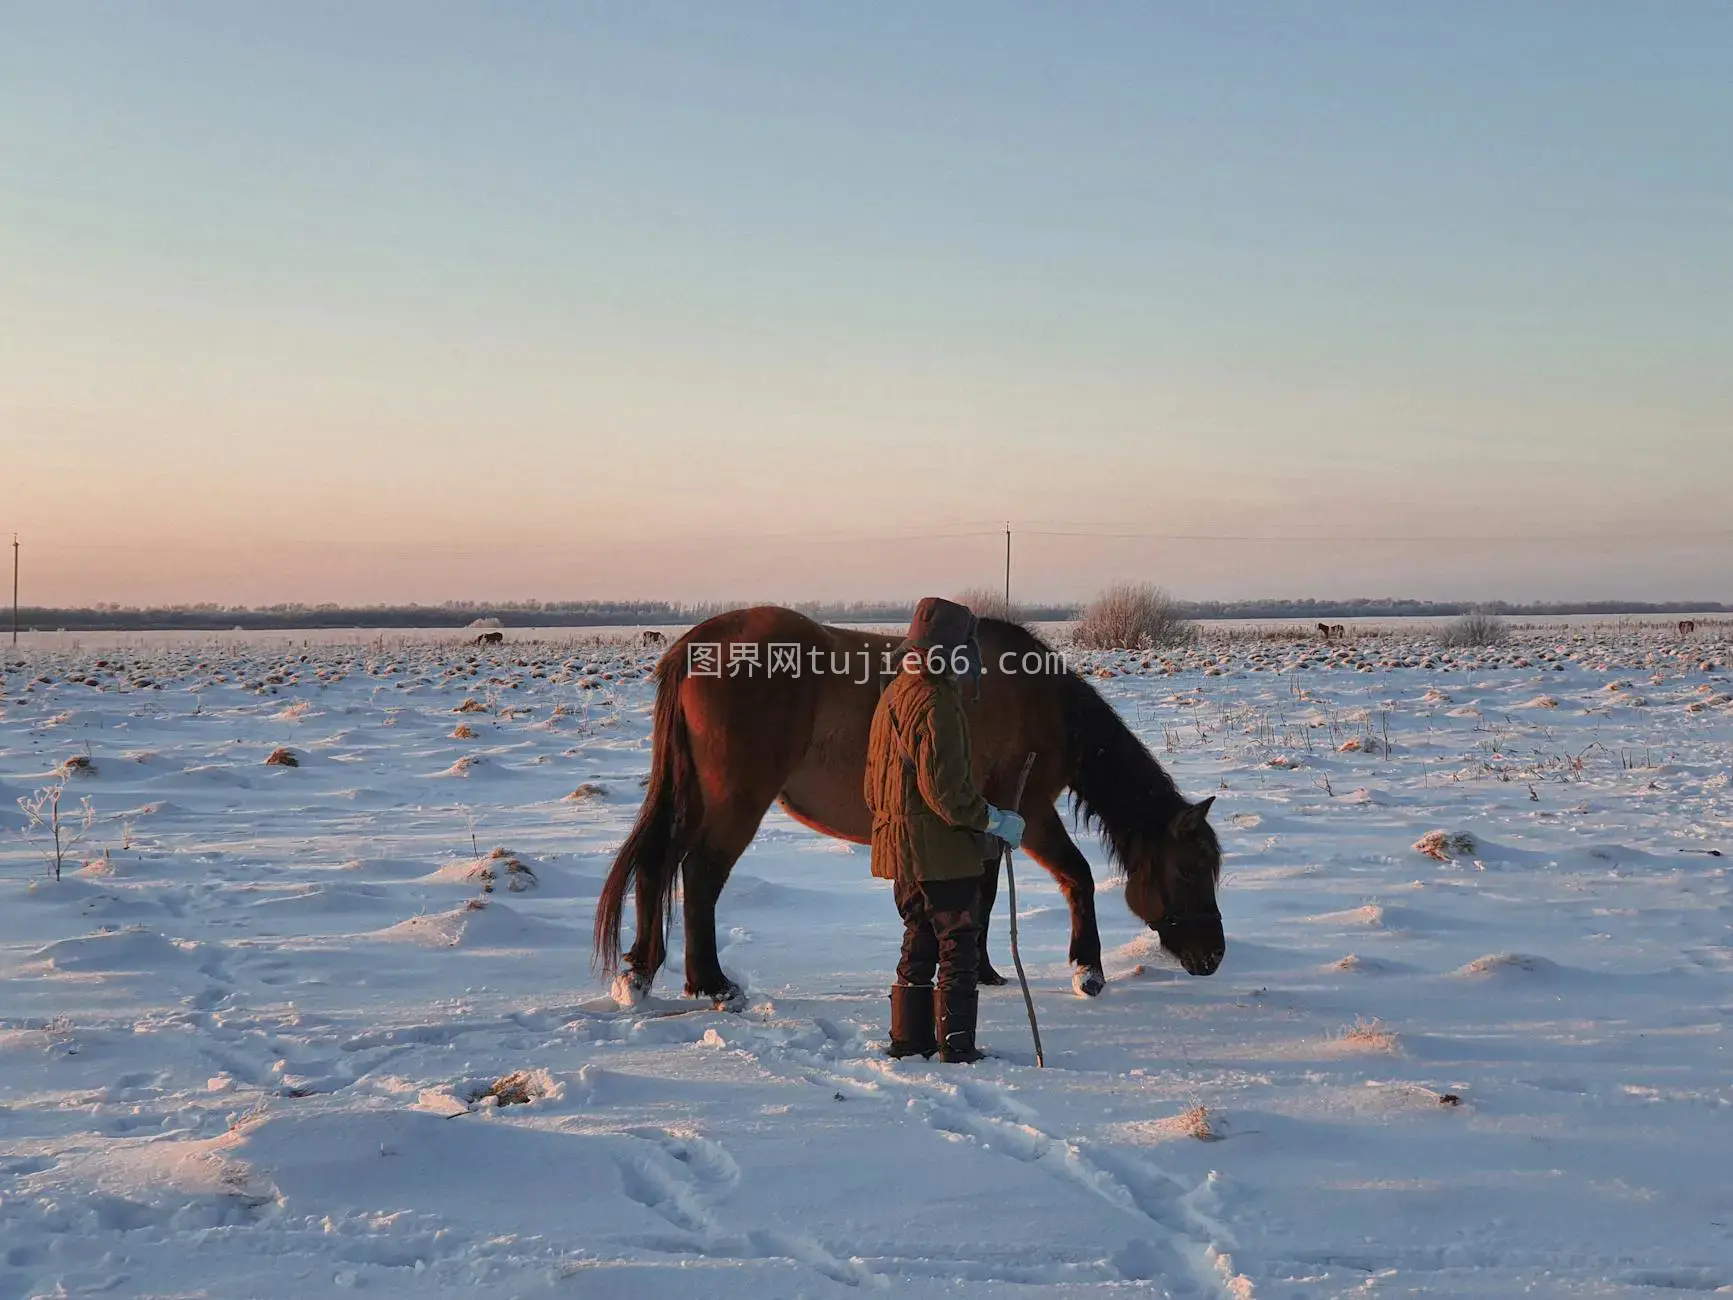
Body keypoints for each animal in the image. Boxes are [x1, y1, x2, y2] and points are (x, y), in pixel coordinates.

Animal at [596, 610, 1233, 1005]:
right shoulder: (1027, 812)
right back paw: (711, 984)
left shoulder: (981, 823)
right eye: (1188, 869)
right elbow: (1075, 876)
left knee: (656, 867)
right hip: (734, 800)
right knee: (700, 874)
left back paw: (641, 974)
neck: (1043, 703)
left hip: (696, 796)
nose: (1213, 957)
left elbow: (982, 896)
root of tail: (697, 644)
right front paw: (1087, 971)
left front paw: (986, 972)